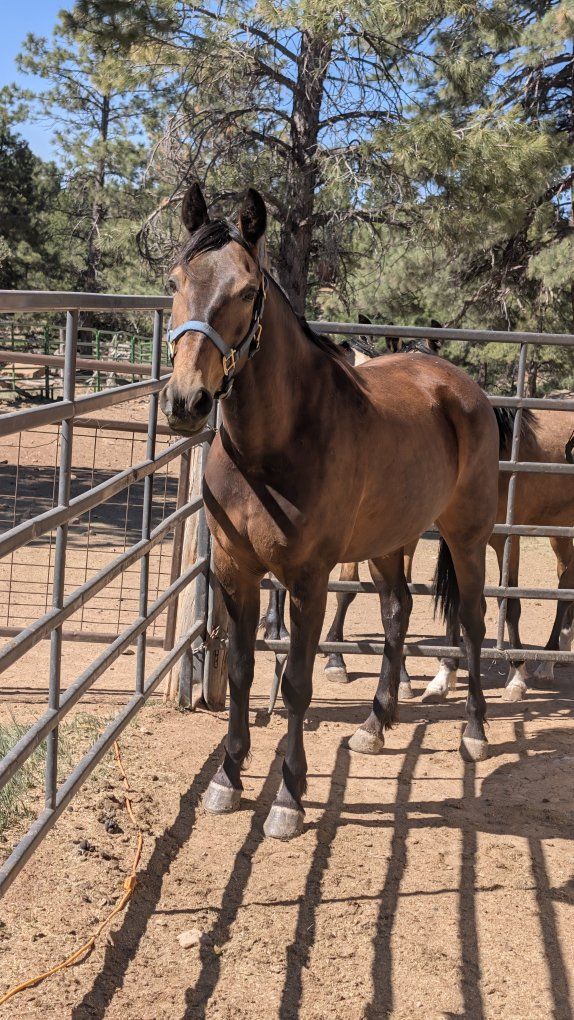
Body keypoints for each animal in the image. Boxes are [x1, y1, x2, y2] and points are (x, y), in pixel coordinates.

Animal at [160, 183, 499, 841]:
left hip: (466, 535)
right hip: (390, 541)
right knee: (397, 613)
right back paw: (374, 725)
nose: (187, 402)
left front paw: (288, 798)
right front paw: (228, 778)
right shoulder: (235, 570)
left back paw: (474, 732)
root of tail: (458, 384)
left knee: (471, 620)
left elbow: (296, 682)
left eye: (247, 291)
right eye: (174, 278)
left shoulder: (308, 580)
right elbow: (241, 668)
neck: (271, 449)